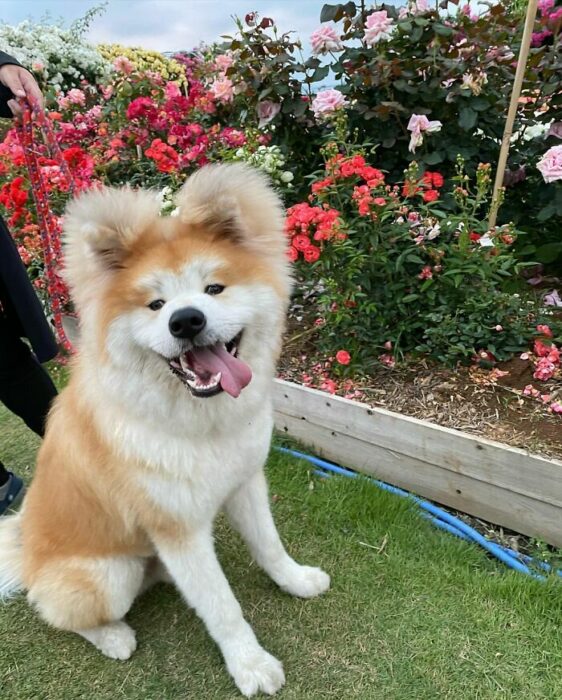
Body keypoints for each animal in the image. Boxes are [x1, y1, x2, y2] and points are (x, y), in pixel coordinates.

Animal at [0, 164, 328, 696]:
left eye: (214, 289)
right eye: (155, 304)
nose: (186, 320)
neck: (198, 423)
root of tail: (24, 554)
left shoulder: (245, 483)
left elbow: (270, 546)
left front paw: (295, 581)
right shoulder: (178, 530)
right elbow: (223, 606)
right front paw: (250, 665)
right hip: (109, 577)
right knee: (58, 612)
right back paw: (113, 637)